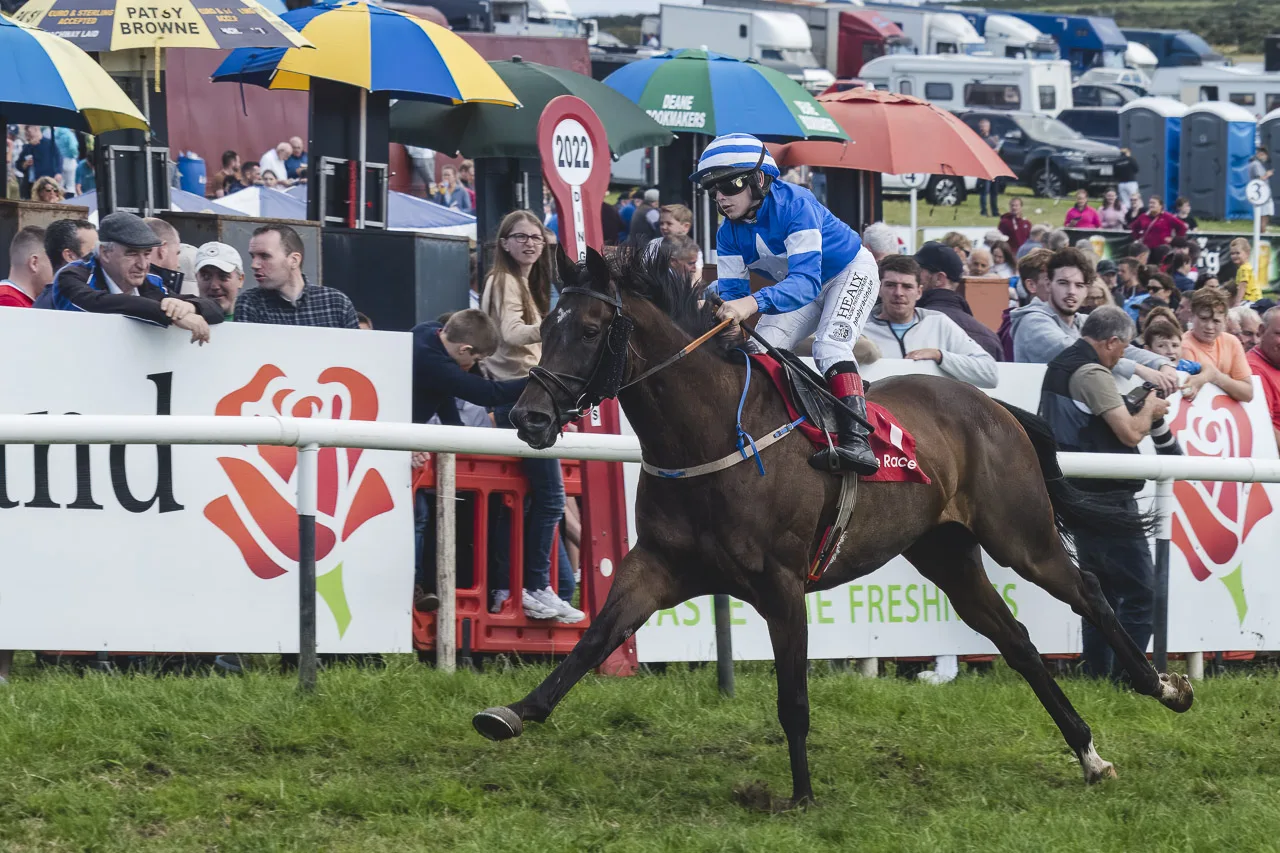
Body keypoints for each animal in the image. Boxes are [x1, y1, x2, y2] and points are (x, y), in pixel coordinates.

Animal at [476, 245, 1192, 804]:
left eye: (591, 330)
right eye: (543, 326)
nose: (530, 417)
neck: (711, 434)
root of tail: (992, 405)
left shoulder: (781, 584)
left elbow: (793, 698)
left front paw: (801, 795)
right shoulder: (656, 565)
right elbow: (595, 640)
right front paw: (512, 712)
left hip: (1021, 536)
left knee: (1088, 593)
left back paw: (1164, 687)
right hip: (946, 552)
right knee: (1015, 640)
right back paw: (1089, 753)